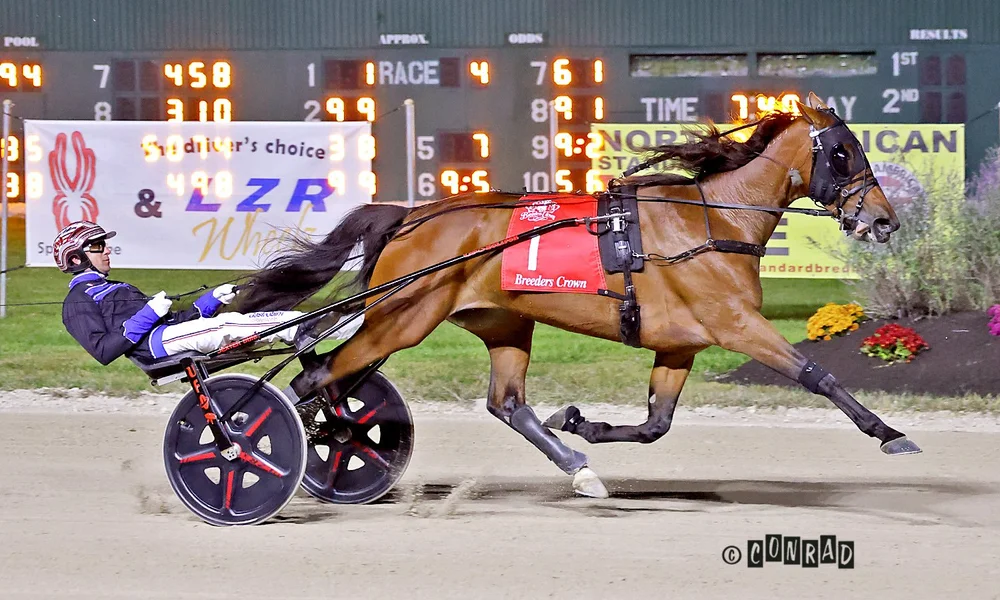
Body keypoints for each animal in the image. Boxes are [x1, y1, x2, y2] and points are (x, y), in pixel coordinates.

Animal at [240, 93, 918, 499]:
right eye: (844, 151)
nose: (884, 221)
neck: (711, 221)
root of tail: (411, 215)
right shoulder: (735, 323)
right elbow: (816, 375)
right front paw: (890, 433)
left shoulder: (680, 345)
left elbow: (656, 424)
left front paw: (582, 424)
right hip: (402, 318)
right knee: (315, 376)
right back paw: (272, 442)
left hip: (492, 322)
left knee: (502, 403)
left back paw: (577, 468)